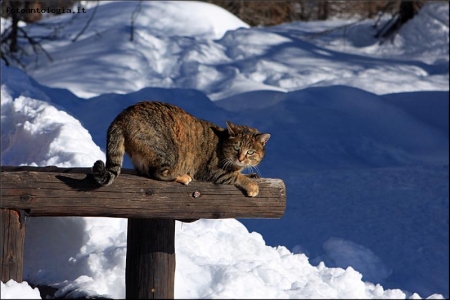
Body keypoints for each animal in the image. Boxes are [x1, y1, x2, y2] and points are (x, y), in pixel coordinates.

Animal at [90, 101, 268, 197]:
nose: (241, 158)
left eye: (250, 152)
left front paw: (251, 174)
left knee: (146, 172)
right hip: (168, 152)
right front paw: (252, 185)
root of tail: (122, 117)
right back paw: (182, 176)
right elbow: (236, 176)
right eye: (236, 147)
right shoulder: (214, 171)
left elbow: (241, 173)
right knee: (158, 174)